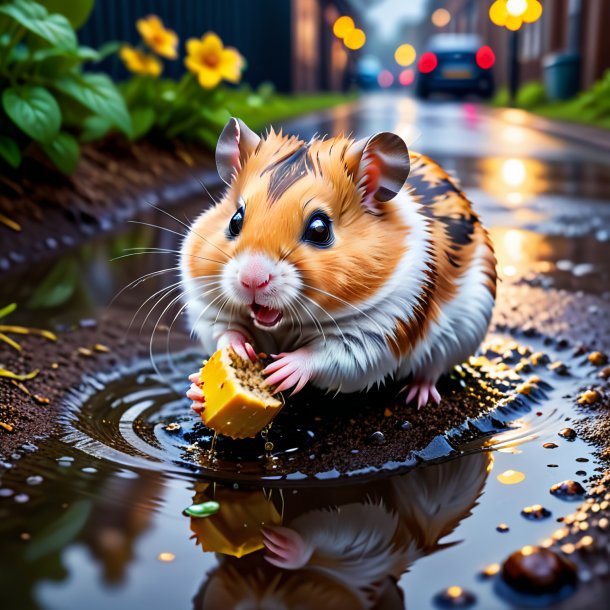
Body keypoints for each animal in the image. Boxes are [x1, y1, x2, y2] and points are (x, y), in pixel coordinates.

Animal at [180, 116, 494, 406]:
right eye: (235, 220)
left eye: (320, 230)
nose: (252, 279)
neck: (287, 324)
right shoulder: (207, 310)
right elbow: (224, 332)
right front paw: (204, 381)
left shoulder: (381, 332)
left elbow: (329, 356)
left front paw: (280, 371)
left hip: (465, 331)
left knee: (433, 368)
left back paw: (418, 397)